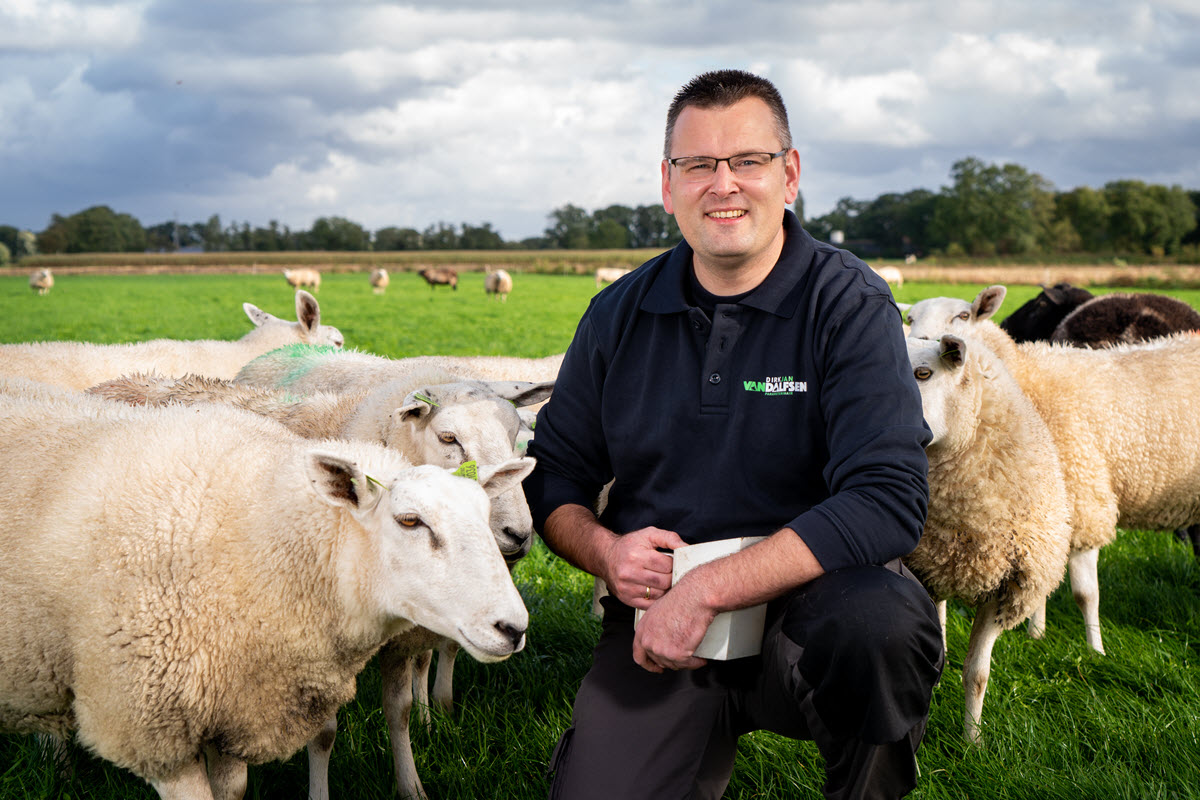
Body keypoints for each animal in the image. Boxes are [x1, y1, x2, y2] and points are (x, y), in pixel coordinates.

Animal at [0, 388, 530, 800]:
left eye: (483, 515)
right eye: (409, 520)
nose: (514, 628)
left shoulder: (238, 706)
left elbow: (234, 788)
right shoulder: (153, 726)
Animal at [902, 287, 1200, 657]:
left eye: (963, 316)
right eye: (909, 317)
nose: (923, 339)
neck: (1026, 381)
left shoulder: (1081, 500)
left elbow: (1085, 594)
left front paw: (1095, 651)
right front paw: (1037, 632)